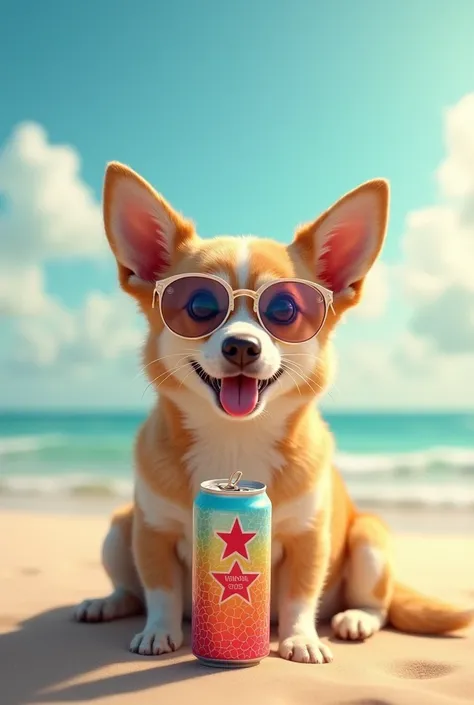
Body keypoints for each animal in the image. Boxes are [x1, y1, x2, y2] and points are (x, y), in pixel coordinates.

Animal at [72, 162, 472, 664]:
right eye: (200, 306)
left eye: (284, 309)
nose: (242, 345)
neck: (235, 439)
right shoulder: (151, 531)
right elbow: (160, 591)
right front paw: (158, 632)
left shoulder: (308, 538)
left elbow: (300, 595)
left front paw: (301, 639)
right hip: (117, 528)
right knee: (132, 589)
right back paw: (106, 603)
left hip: (370, 539)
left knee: (378, 605)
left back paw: (354, 619)